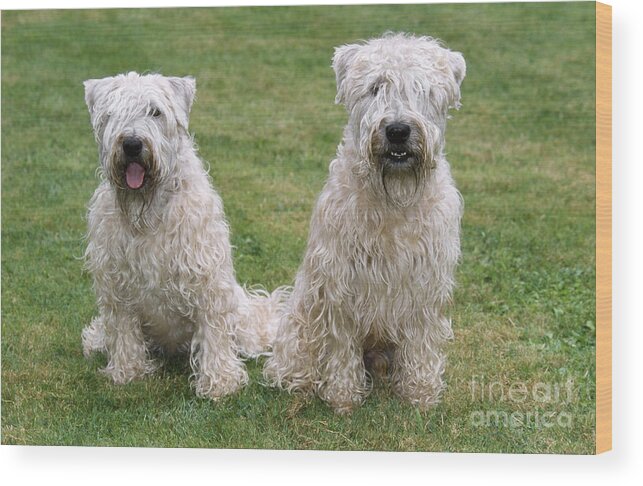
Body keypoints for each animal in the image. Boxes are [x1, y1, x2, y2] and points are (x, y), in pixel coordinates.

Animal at [80, 71, 282, 398]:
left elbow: (214, 331)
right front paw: (127, 372)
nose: (132, 144)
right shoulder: (116, 282)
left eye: (156, 112)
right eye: (111, 113)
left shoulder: (206, 277)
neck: (148, 213)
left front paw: (220, 382)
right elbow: (123, 330)